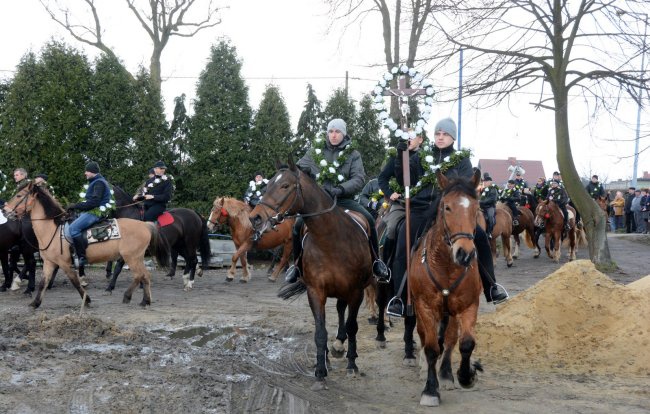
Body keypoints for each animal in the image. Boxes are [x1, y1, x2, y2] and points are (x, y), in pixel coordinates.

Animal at [2, 183, 170, 308]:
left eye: (19, 195)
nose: (4, 210)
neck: (53, 229)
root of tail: (145, 225)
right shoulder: (49, 262)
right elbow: (43, 282)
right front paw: (35, 303)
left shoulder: (64, 263)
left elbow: (75, 282)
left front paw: (87, 300)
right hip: (136, 258)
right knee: (145, 276)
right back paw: (144, 301)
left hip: (132, 257)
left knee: (139, 275)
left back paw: (128, 296)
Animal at [247, 158, 380, 392]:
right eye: (268, 184)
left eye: (285, 186)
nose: (255, 217)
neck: (331, 240)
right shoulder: (316, 291)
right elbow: (320, 331)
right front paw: (320, 370)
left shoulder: (356, 291)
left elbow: (352, 326)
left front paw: (352, 364)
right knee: (337, 312)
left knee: (344, 314)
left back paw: (341, 347)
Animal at [408, 169, 484, 408]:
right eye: (447, 207)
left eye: (476, 207)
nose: (465, 254)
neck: (446, 266)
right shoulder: (425, 307)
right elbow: (432, 348)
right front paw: (430, 391)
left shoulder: (468, 306)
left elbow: (465, 343)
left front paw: (466, 376)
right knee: (426, 337)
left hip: (450, 311)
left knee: (449, 339)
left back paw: (446, 374)